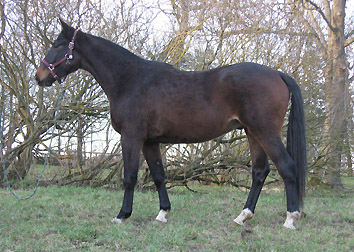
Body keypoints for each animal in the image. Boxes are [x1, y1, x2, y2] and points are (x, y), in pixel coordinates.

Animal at [36, 19, 306, 228]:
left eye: (57, 45)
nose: (39, 77)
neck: (130, 79)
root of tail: (277, 74)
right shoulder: (150, 142)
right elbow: (158, 175)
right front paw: (162, 213)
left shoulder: (131, 137)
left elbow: (130, 176)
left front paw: (122, 215)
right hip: (252, 133)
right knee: (259, 172)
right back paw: (243, 216)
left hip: (264, 131)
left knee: (287, 166)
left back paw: (290, 219)